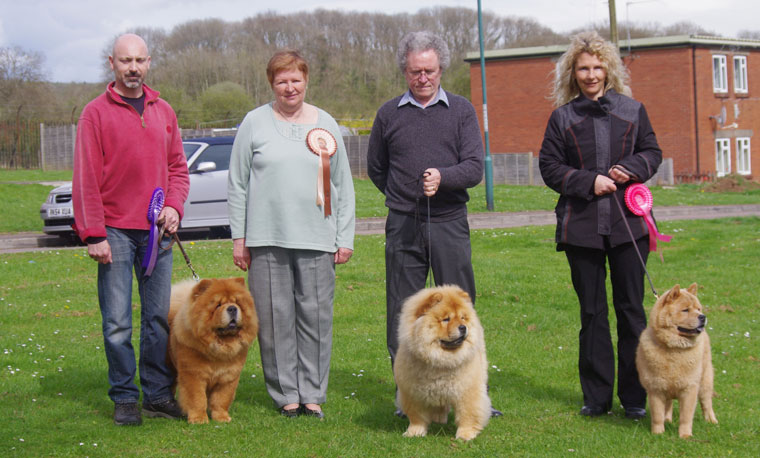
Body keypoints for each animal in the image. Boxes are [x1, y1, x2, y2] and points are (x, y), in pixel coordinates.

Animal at [168, 278, 258, 424]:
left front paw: (222, 418)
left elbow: (221, 399)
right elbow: (197, 399)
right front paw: (199, 419)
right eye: (218, 305)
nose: (232, 308)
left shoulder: (228, 378)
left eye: (237, 303)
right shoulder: (193, 375)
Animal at [392, 286, 492, 440]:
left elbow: (468, 414)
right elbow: (416, 416)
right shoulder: (413, 393)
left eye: (462, 317)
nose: (463, 327)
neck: (441, 361)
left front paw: (465, 435)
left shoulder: (467, 391)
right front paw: (414, 432)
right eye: (446, 319)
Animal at [636, 284, 720, 438]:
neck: (675, 350)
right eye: (685, 310)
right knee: (668, 404)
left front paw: (685, 435)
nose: (703, 316)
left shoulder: (689, 388)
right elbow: (657, 415)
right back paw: (667, 420)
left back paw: (711, 420)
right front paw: (658, 433)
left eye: (698, 309)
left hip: (705, 380)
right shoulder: (656, 388)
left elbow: (686, 416)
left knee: (706, 402)